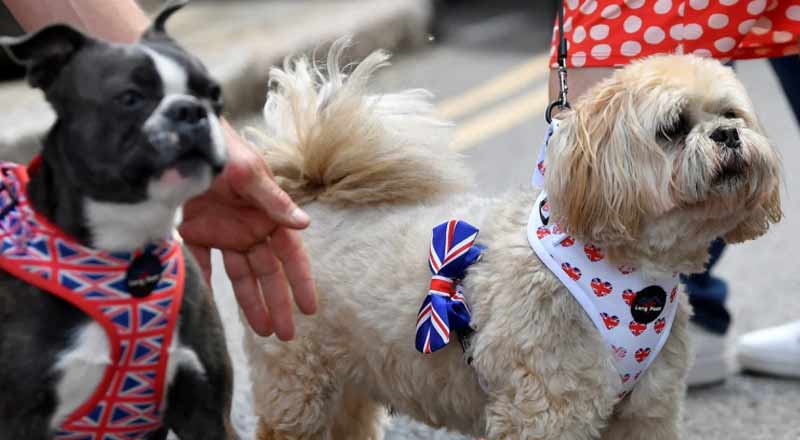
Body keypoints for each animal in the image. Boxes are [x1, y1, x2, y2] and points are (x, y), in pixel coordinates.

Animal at [0, 1, 236, 438]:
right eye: (129, 98)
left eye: (214, 95)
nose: (191, 110)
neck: (128, 249)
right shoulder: (19, 419)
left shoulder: (207, 409)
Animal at [244, 39, 780, 438]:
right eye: (672, 128)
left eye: (731, 113)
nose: (728, 135)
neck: (622, 273)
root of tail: (312, 195)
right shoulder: (547, 411)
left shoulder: (646, 413)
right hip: (297, 387)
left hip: (350, 384)